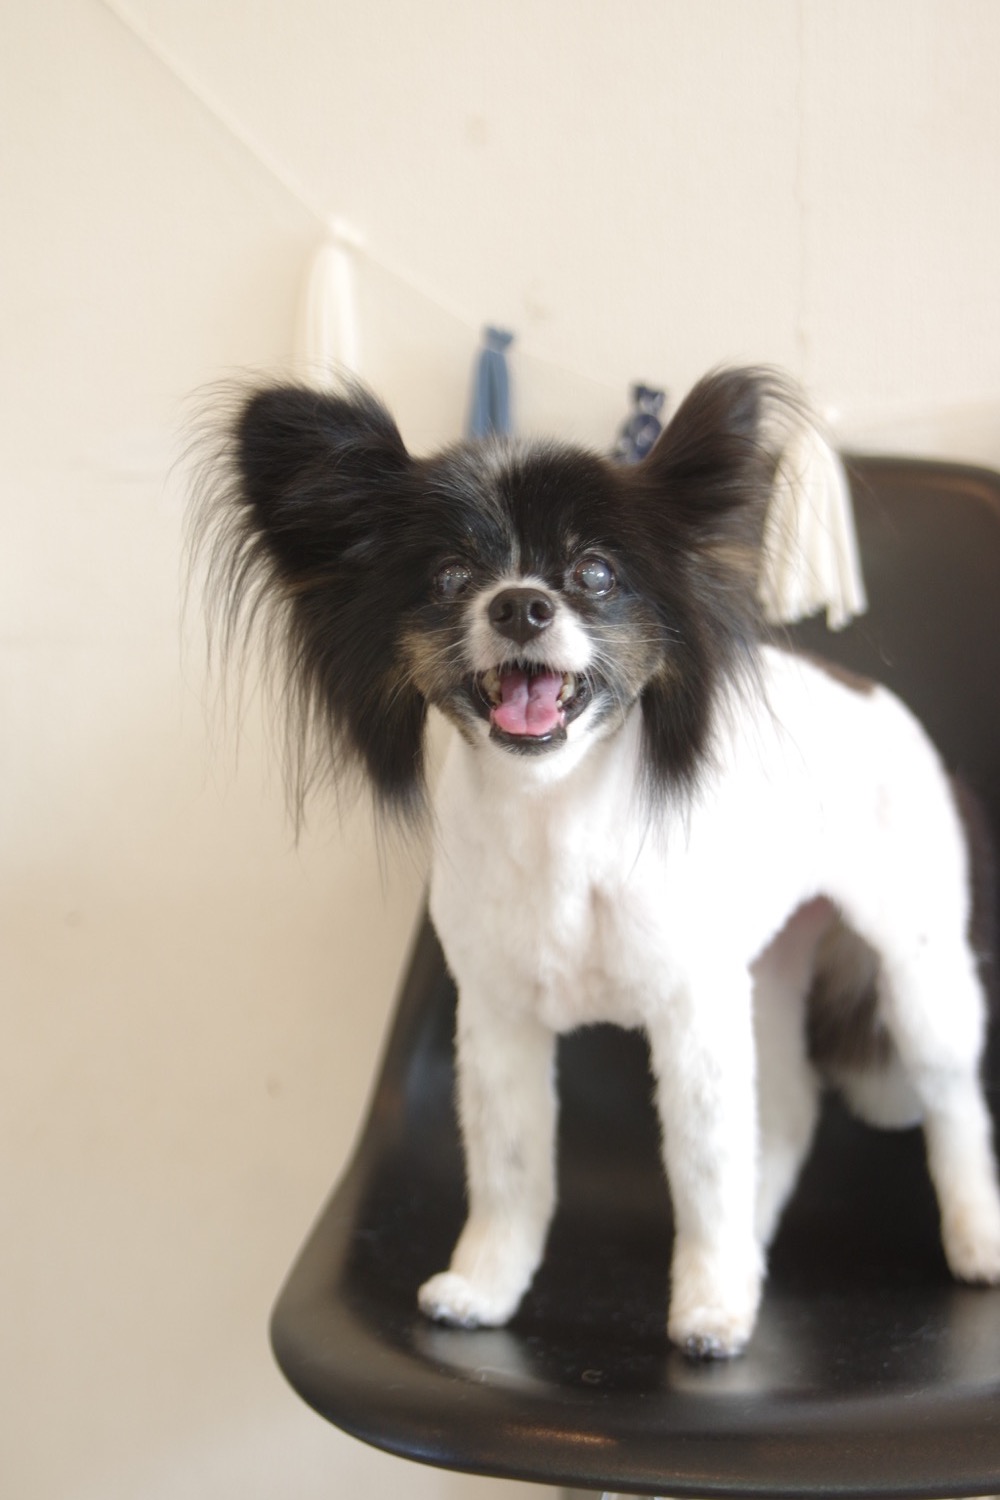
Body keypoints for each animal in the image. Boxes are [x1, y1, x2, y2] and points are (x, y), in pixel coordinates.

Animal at [194, 365, 1000, 1358]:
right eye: (450, 577)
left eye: (594, 575)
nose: (521, 604)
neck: (554, 822)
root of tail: (875, 694)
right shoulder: (498, 1019)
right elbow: (510, 1171)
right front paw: (487, 1286)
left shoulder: (692, 1011)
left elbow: (701, 1167)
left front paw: (711, 1304)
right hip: (767, 967)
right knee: (787, 1110)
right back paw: (758, 1244)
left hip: (915, 967)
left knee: (952, 1099)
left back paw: (973, 1236)